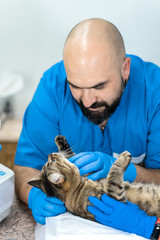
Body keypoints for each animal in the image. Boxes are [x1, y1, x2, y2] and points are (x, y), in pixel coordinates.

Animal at [28, 135, 160, 219]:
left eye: (52, 160)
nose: (51, 154)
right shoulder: (115, 200)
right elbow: (114, 174)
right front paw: (122, 158)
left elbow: (72, 155)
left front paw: (61, 141)